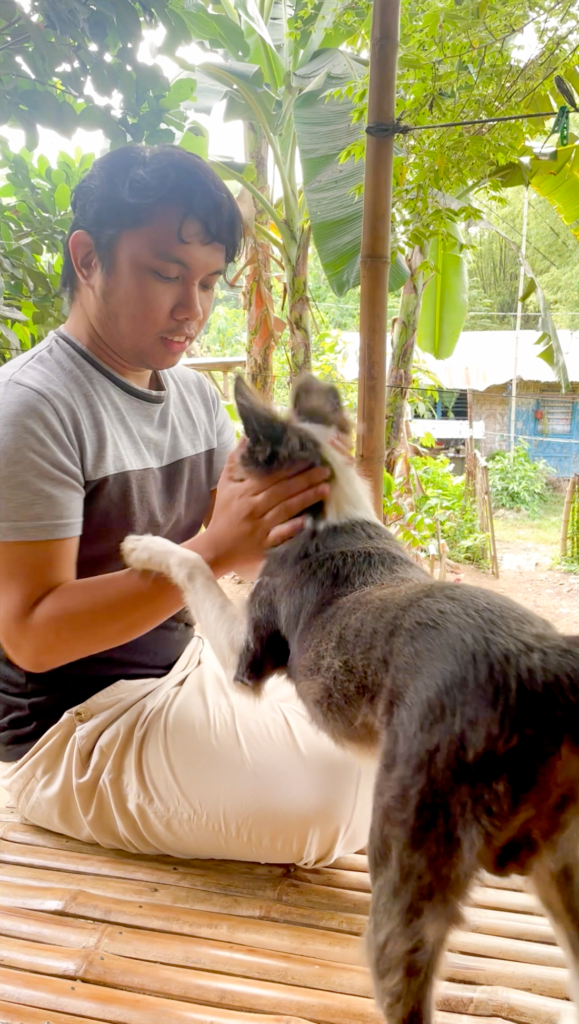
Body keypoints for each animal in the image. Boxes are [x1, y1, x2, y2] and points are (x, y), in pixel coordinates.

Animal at [119, 374, 577, 1024]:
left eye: (239, 454)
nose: (220, 472)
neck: (329, 513)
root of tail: (545, 670)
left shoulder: (246, 657)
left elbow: (195, 563)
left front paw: (145, 547)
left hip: (411, 861)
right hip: (564, 871)